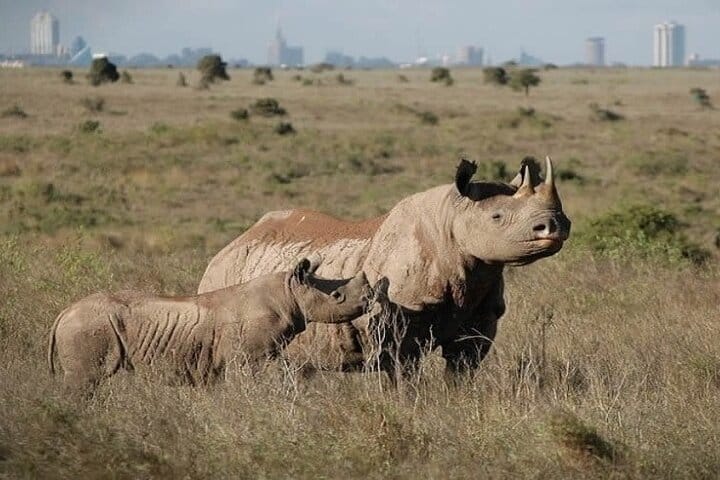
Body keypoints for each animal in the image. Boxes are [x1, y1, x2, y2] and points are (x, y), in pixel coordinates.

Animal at [48, 259, 374, 392]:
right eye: (337, 296)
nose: (369, 299)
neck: (289, 291)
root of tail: (62, 313)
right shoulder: (249, 357)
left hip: (86, 323)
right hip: (87, 324)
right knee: (84, 381)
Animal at [198, 157, 571, 379]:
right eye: (497, 217)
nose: (555, 226)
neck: (451, 220)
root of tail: (227, 248)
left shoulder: (482, 311)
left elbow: (462, 366)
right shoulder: (397, 318)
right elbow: (402, 370)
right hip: (222, 281)